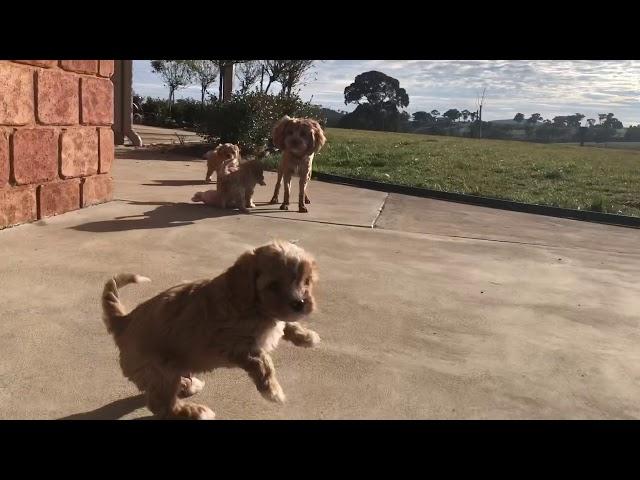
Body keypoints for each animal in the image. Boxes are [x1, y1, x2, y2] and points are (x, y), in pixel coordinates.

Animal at [103, 240, 322, 420]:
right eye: (273, 285)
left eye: (306, 281)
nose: (300, 304)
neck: (250, 303)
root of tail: (124, 320)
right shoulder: (234, 345)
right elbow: (263, 361)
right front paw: (273, 391)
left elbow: (287, 324)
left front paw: (307, 337)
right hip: (160, 369)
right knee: (162, 405)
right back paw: (195, 411)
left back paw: (189, 385)